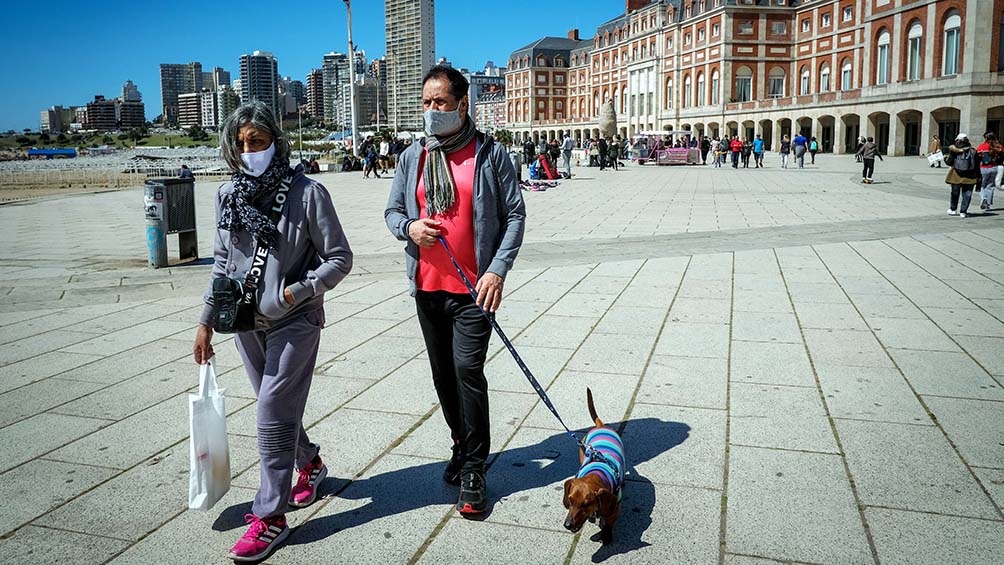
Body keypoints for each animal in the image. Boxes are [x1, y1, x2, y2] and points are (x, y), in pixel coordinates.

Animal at [562, 389, 622, 541]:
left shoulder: (615, 509)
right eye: (570, 500)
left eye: (586, 504)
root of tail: (600, 425)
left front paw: (606, 536)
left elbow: (609, 524)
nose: (567, 525)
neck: (597, 472)